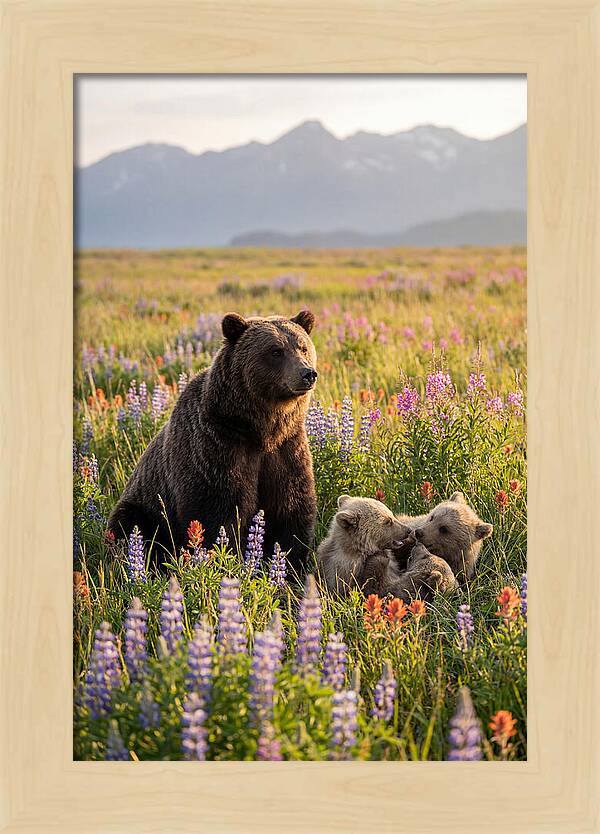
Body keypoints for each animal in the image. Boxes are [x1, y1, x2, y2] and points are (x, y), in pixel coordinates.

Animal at [107, 310, 318, 572]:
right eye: (276, 351)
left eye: (303, 347)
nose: (307, 373)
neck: (259, 430)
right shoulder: (216, 447)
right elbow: (216, 512)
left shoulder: (287, 449)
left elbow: (291, 509)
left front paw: (290, 567)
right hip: (145, 505)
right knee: (131, 527)